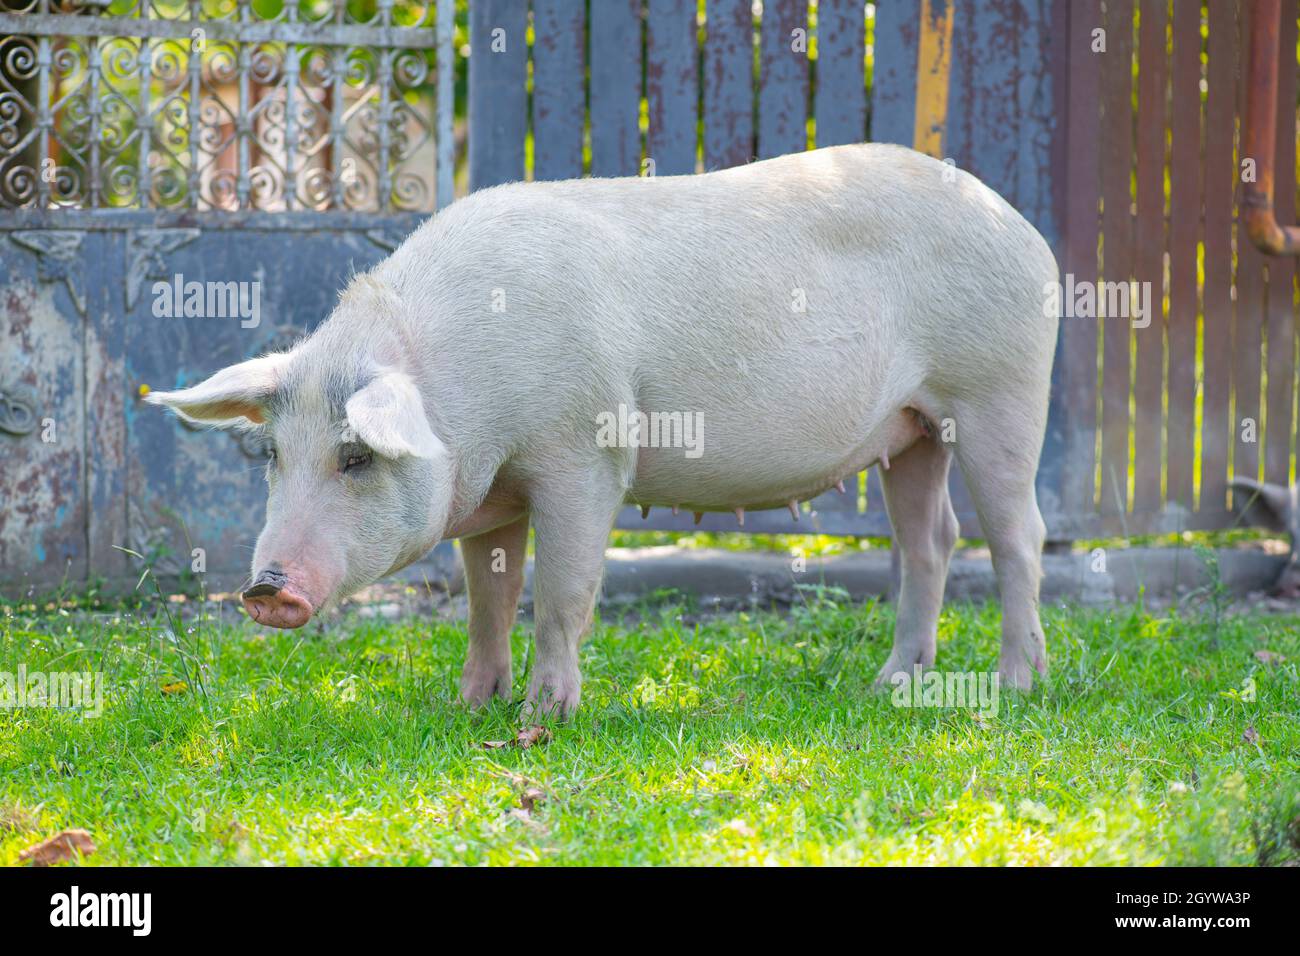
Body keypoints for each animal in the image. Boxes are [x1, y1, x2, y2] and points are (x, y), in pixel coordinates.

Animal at [147, 143, 1060, 717]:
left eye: (356, 456)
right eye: (271, 454)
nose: (264, 588)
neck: (461, 398)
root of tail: (1024, 228)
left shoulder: (583, 452)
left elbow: (561, 591)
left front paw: (546, 717)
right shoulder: (492, 498)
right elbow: (488, 599)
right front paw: (468, 706)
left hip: (999, 387)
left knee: (1020, 536)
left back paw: (1018, 686)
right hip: (912, 431)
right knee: (931, 541)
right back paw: (888, 687)